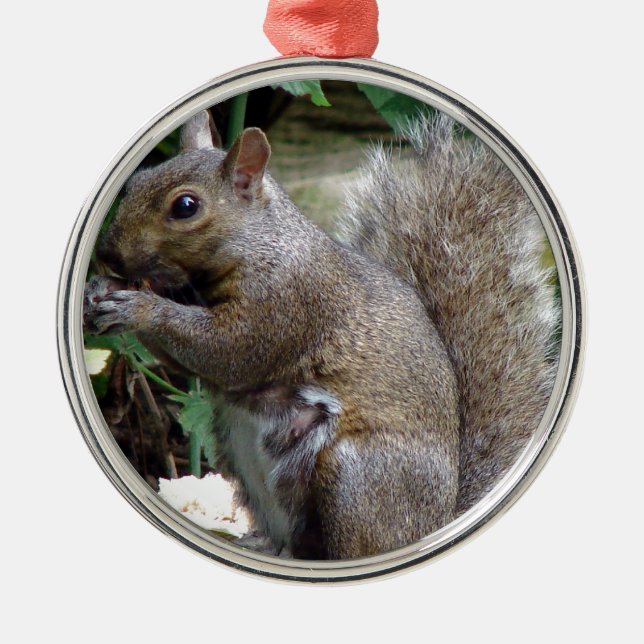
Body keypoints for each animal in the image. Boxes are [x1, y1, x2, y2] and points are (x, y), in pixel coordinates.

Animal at [84, 109, 559, 559]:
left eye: (186, 206)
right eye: (136, 180)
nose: (106, 253)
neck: (260, 244)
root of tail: (434, 524)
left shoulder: (290, 302)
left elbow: (230, 352)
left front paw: (140, 308)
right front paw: (99, 290)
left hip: (357, 478)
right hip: (243, 453)